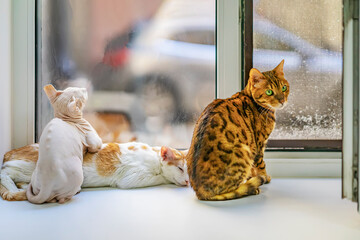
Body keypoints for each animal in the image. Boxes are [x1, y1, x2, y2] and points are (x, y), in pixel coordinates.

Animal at [0, 142, 190, 202]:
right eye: (180, 168)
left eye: (190, 173)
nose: (188, 182)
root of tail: (9, 152)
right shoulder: (130, 178)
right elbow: (160, 178)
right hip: (29, 167)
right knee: (4, 173)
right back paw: (14, 189)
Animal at [187, 60, 288, 201]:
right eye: (269, 92)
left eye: (284, 88)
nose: (282, 100)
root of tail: (200, 192)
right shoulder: (258, 145)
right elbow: (261, 165)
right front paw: (264, 177)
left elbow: (253, 168)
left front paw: (253, 176)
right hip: (243, 151)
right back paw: (251, 187)